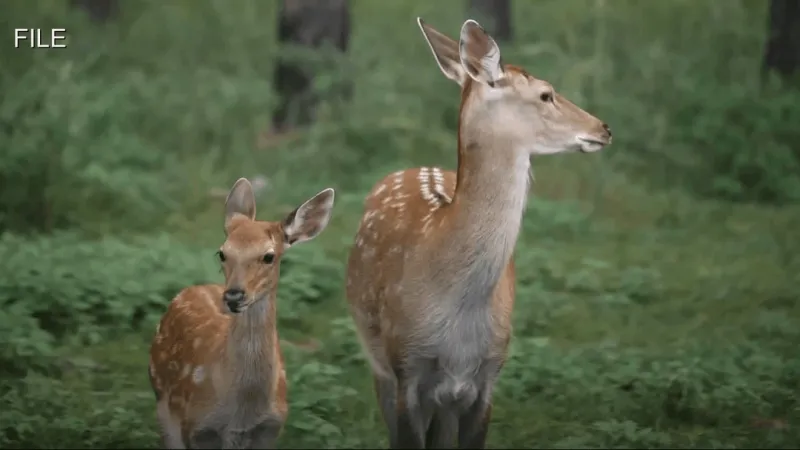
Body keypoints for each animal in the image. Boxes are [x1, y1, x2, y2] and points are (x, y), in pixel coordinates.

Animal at [148, 178, 336, 449]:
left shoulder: (271, 429)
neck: (241, 414)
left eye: (269, 256)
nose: (233, 296)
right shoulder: (195, 427)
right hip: (162, 403)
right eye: (222, 252)